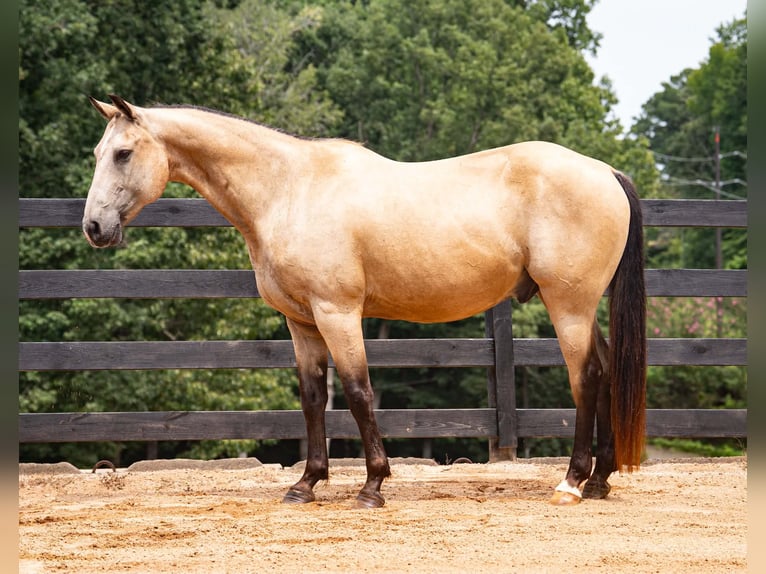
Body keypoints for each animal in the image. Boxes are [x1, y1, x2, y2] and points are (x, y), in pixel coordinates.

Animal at [83, 94, 646, 508]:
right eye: (97, 154)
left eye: (123, 153)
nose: (93, 227)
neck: (290, 189)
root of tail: (604, 171)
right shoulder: (301, 322)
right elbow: (313, 398)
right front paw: (306, 485)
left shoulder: (338, 312)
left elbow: (357, 392)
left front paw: (372, 485)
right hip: (582, 308)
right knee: (603, 371)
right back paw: (600, 480)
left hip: (568, 305)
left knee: (586, 378)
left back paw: (571, 482)